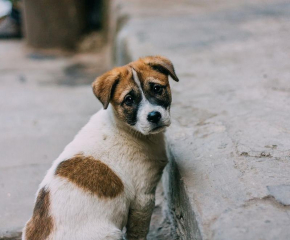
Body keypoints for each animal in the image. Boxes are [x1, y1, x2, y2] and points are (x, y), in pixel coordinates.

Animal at [22, 55, 178, 239]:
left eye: (156, 88)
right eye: (129, 100)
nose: (154, 116)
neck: (126, 129)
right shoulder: (143, 198)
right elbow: (138, 232)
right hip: (111, 233)